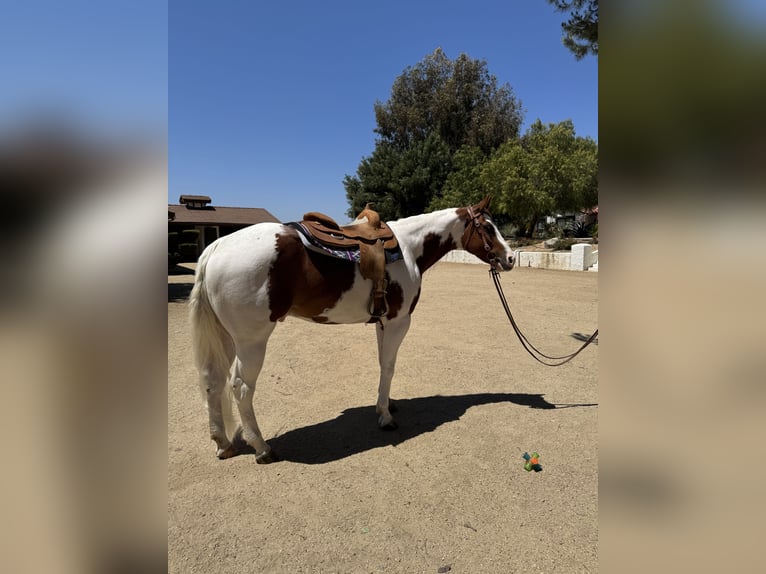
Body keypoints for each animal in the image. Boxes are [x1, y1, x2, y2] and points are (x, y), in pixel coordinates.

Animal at [189, 196, 515, 463]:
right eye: (488, 228)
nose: (510, 258)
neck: (409, 248)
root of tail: (217, 247)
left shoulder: (383, 322)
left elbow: (384, 365)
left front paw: (387, 404)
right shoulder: (399, 321)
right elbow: (389, 366)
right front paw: (385, 417)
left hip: (227, 337)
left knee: (212, 380)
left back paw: (223, 443)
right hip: (251, 341)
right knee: (240, 387)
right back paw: (261, 448)